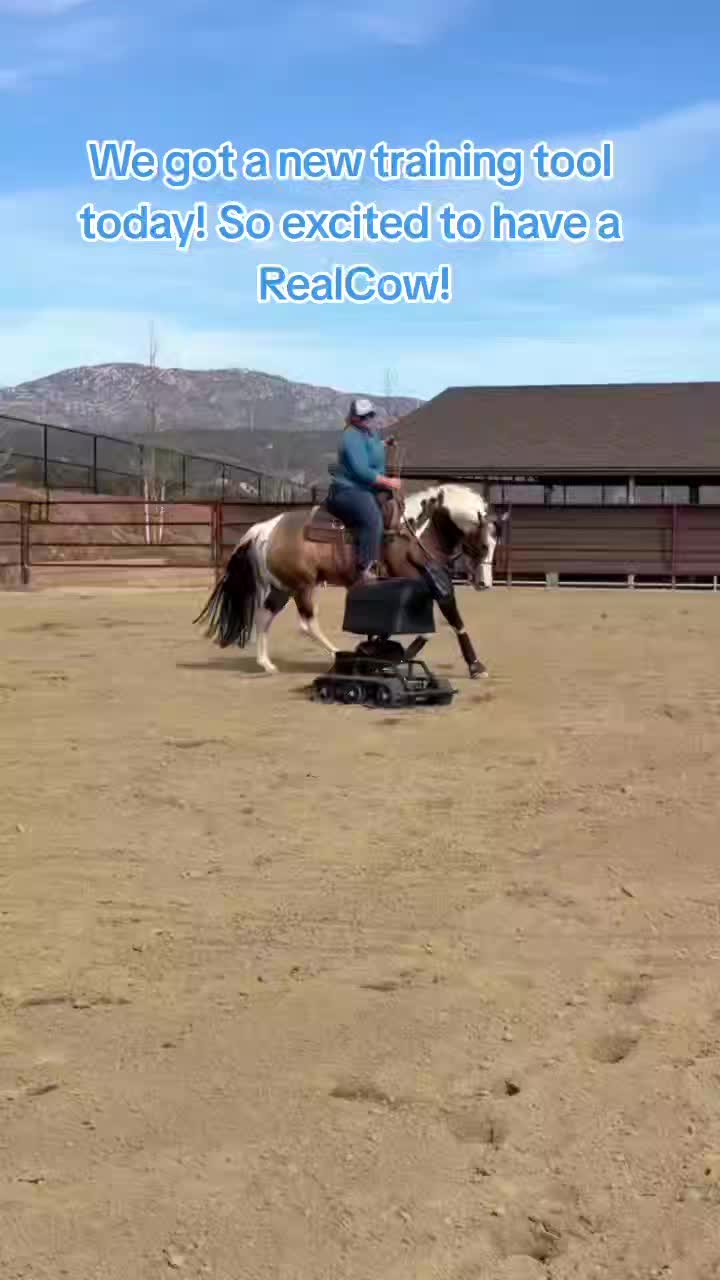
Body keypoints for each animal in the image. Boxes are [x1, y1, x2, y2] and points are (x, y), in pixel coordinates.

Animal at [194, 483, 508, 678]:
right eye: (482, 545)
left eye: (495, 545)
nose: (485, 583)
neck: (417, 531)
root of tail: (266, 528)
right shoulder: (423, 585)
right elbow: (442, 623)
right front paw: (475, 666)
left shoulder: (428, 586)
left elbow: (433, 624)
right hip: (303, 585)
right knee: (307, 623)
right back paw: (338, 654)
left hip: (283, 587)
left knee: (263, 617)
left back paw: (267, 664)